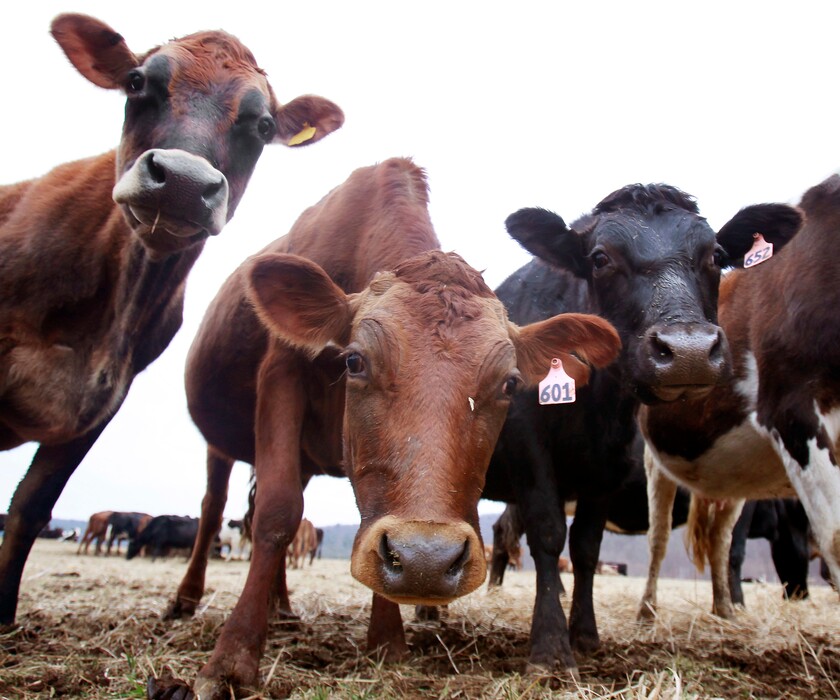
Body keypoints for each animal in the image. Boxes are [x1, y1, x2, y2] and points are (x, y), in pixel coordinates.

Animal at [0, 13, 343, 627]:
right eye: (137, 82)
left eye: (262, 124)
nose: (183, 182)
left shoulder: (101, 402)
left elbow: (33, 505)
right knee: (214, 507)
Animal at [158, 157, 621, 698]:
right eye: (355, 361)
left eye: (509, 383)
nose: (426, 558)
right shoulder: (280, 375)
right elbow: (276, 513)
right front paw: (232, 660)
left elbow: (358, 505)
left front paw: (387, 639)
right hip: (220, 444)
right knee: (215, 508)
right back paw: (187, 599)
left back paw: (284, 607)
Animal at [477, 183, 801, 674]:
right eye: (599, 258)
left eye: (716, 255)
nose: (688, 351)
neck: (597, 402)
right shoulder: (528, 447)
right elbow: (548, 534)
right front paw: (550, 646)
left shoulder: (607, 467)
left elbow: (586, 547)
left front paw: (586, 634)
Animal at [639, 174, 840, 621]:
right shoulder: (792, 411)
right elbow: (836, 537)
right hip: (656, 464)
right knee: (658, 539)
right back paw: (647, 610)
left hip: (735, 477)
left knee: (720, 540)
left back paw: (724, 610)